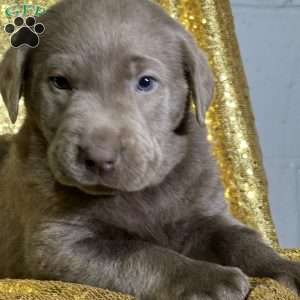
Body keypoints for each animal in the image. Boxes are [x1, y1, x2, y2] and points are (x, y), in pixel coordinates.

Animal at [0, 0, 300, 300]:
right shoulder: (57, 243)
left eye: (145, 82)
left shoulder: (208, 214)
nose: (99, 157)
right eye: (60, 82)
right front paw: (209, 277)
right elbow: (141, 253)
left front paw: (287, 269)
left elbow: (243, 242)